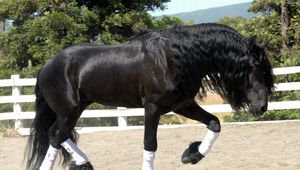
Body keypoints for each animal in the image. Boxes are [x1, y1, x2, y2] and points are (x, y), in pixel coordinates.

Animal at [25, 23, 274, 170]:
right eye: (253, 67)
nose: (262, 107)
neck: (173, 58)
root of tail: (46, 67)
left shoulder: (183, 105)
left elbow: (215, 123)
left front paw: (191, 155)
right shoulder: (152, 107)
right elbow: (150, 144)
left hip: (76, 108)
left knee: (57, 135)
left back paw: (84, 163)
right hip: (69, 110)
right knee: (56, 136)